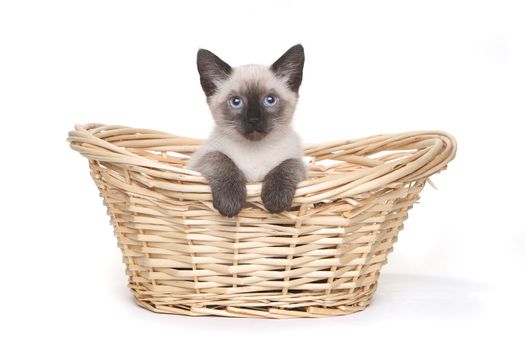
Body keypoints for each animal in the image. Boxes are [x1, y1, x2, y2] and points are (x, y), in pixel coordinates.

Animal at [186, 44, 304, 216]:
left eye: (270, 100)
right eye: (236, 102)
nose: (253, 119)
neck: (254, 150)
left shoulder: (299, 163)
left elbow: (288, 165)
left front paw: (276, 199)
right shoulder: (199, 161)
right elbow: (219, 158)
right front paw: (229, 202)